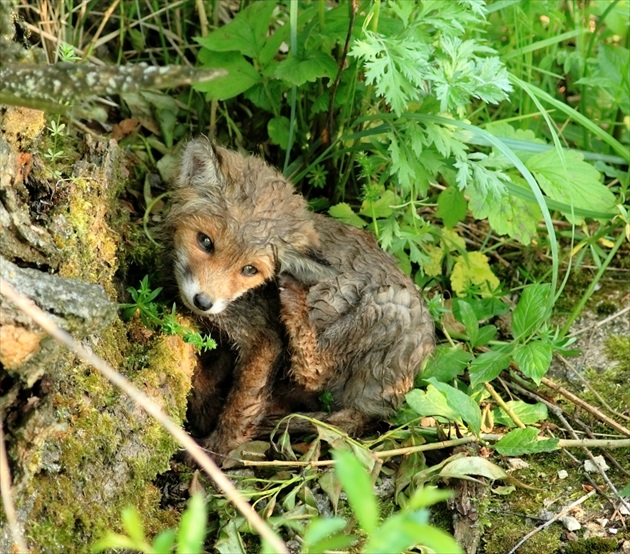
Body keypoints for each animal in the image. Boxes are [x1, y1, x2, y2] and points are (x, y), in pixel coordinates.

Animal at [165, 136, 436, 460]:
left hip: (381, 313)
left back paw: (294, 301)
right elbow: (206, 377)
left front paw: (218, 449)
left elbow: (242, 405)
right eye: (205, 241)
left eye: (249, 269)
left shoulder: (264, 339)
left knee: (313, 371)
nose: (203, 302)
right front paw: (203, 407)